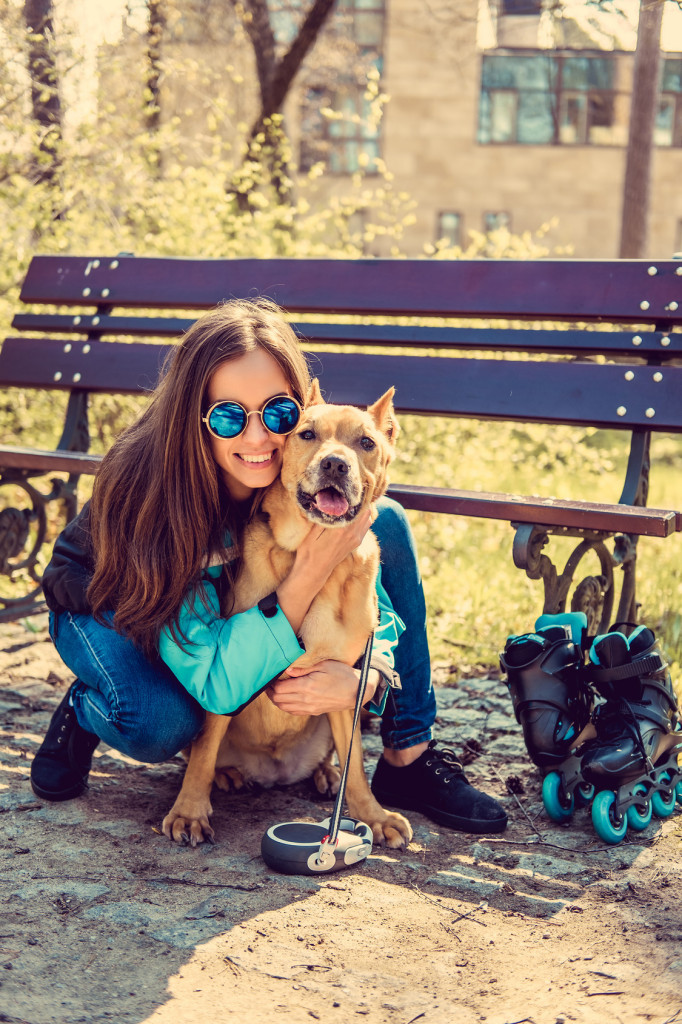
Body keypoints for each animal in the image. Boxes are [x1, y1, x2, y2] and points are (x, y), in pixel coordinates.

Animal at [161, 382, 411, 847]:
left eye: (366, 443)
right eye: (307, 434)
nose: (335, 464)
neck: (309, 555)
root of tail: (274, 771)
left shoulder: (342, 684)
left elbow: (357, 767)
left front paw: (373, 815)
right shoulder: (227, 675)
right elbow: (202, 756)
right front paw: (189, 811)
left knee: (338, 756)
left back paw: (326, 774)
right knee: (206, 752)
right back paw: (227, 775)